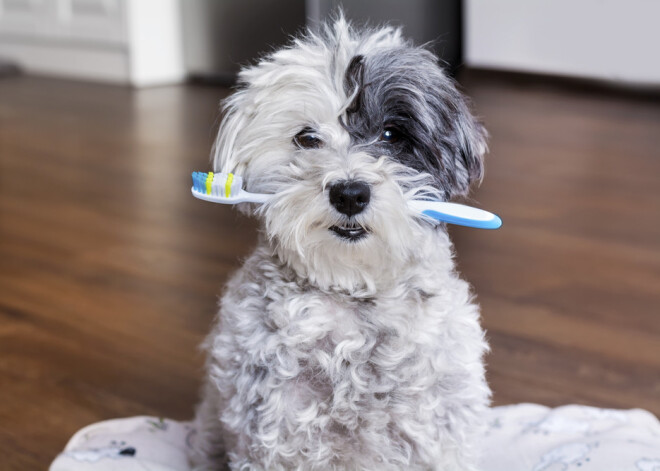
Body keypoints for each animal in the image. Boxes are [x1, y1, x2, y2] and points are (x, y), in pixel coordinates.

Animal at [189, 15, 490, 471]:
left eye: (391, 134)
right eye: (307, 138)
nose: (350, 193)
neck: (352, 292)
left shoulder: (440, 431)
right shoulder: (274, 428)